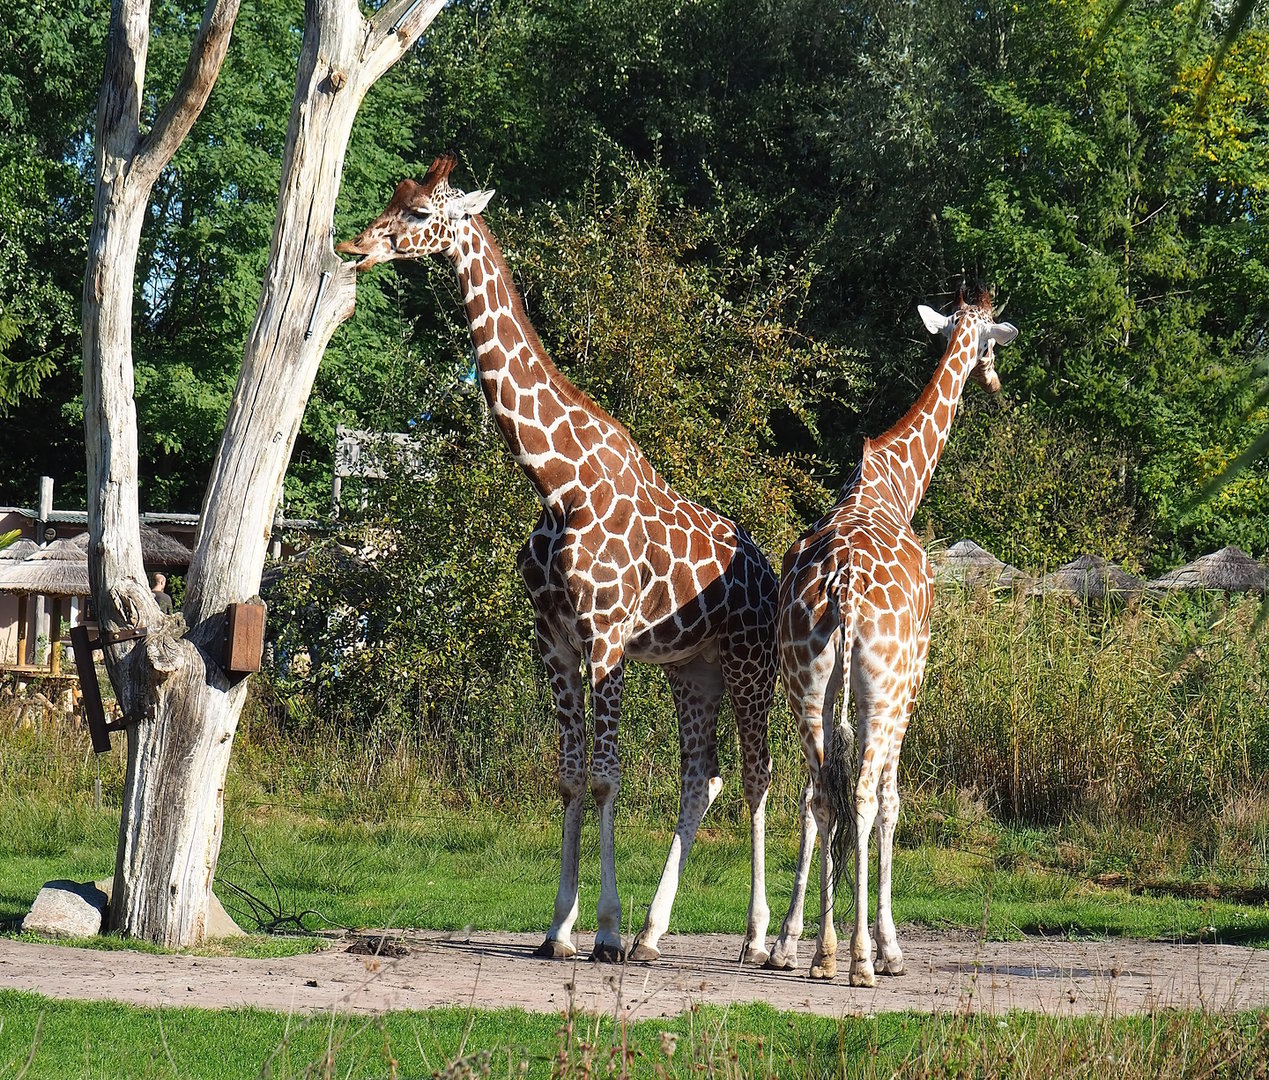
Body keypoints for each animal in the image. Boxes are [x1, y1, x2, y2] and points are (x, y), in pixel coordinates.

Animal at [336, 155, 777, 965]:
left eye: (420, 214)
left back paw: (759, 940)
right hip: (691, 669)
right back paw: (654, 934)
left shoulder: (605, 637)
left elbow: (604, 779)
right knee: (703, 779)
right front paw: (559, 929)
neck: (555, 482)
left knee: (757, 778)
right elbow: (570, 779)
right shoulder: (555, 641)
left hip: (748, 661)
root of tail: (765, 567)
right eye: (393, 199)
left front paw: (601, 928)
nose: (356, 244)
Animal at [765, 289, 1017, 986]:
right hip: (882, 689)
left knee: (821, 793)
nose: (994, 381)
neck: (894, 485)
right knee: (860, 794)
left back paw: (819, 952)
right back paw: (859, 960)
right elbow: (892, 800)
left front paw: (793, 943)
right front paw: (889, 945)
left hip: (806, 686)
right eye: (992, 342)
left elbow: (822, 799)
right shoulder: (912, 682)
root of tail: (844, 587)